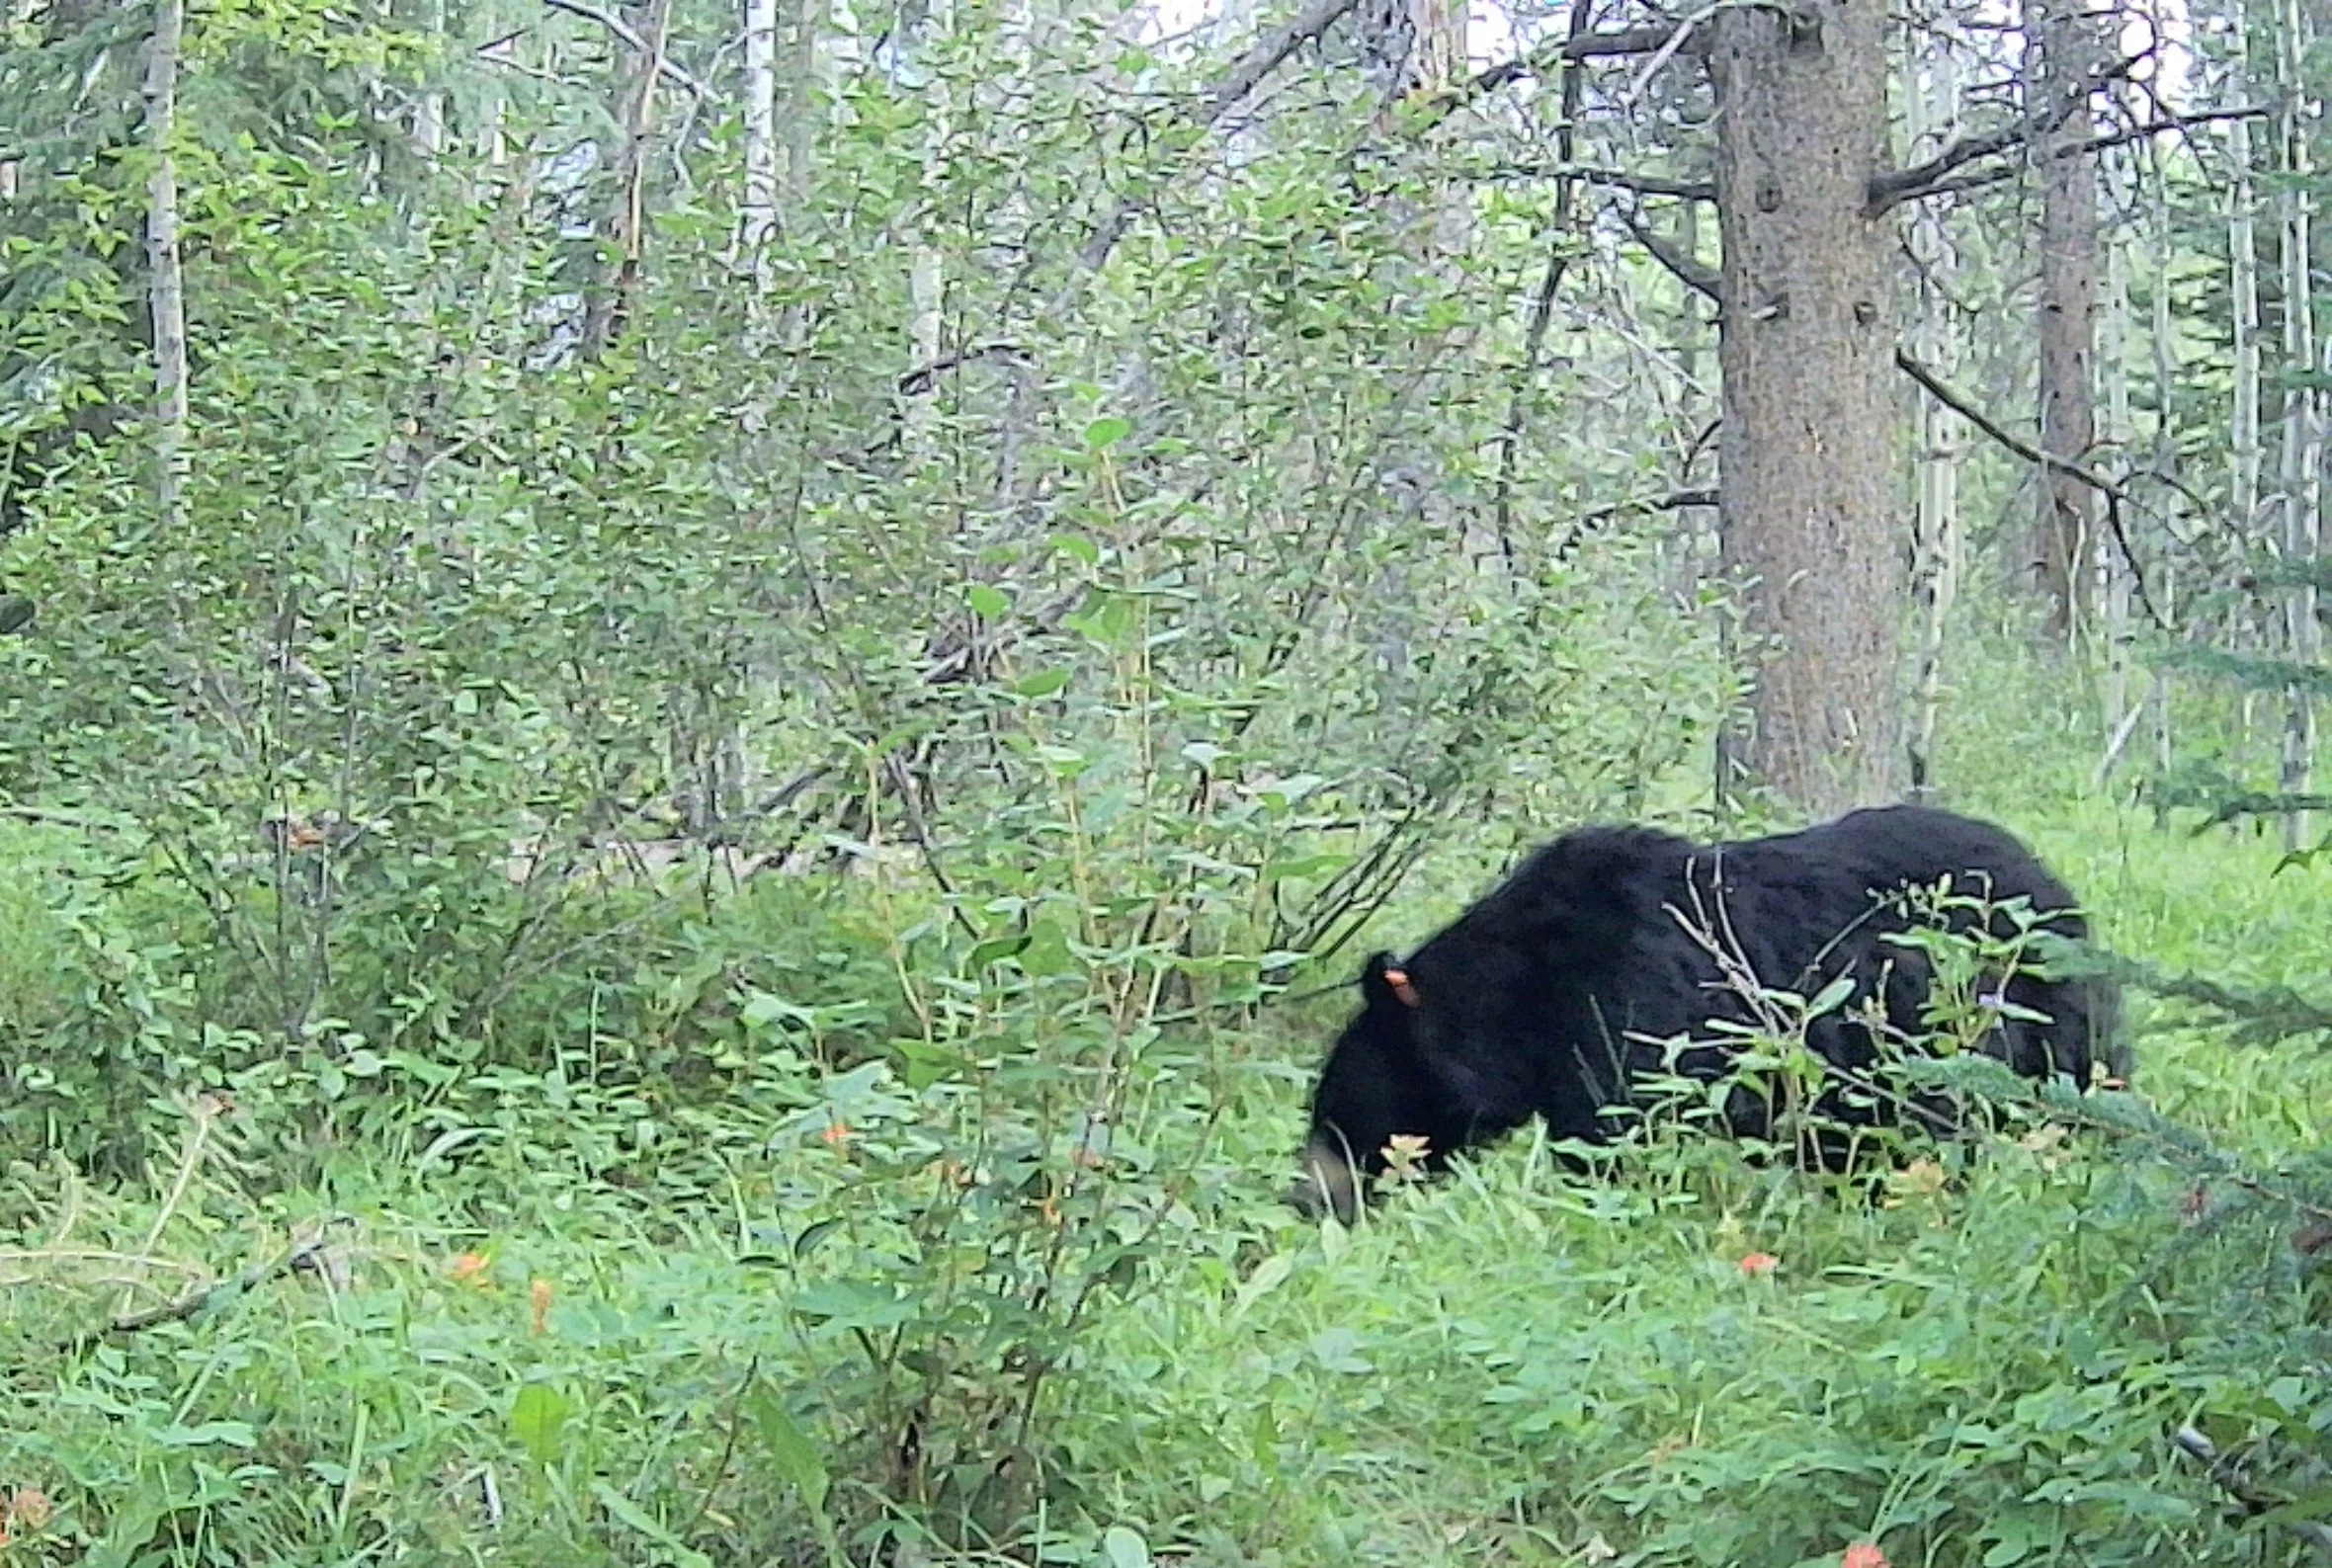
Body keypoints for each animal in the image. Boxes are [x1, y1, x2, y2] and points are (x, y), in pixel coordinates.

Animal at [1292, 804, 2120, 1222]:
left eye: (1335, 1111)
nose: (1307, 1197)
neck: (1525, 998)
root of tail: (2059, 886)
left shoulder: (1631, 1008)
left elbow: (1617, 1139)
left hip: (2028, 1013)